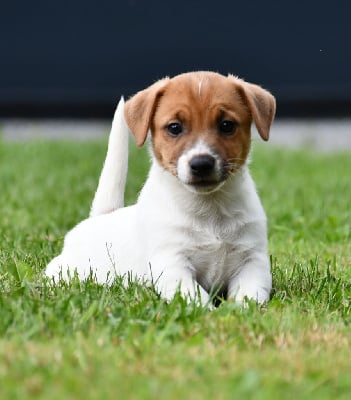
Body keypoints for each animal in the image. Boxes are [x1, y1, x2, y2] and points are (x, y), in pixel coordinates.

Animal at [46, 71, 278, 306]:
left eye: (226, 125)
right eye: (174, 127)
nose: (201, 163)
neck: (209, 209)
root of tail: (100, 217)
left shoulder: (252, 260)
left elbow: (249, 296)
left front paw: (239, 310)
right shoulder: (172, 264)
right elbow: (196, 297)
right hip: (65, 272)